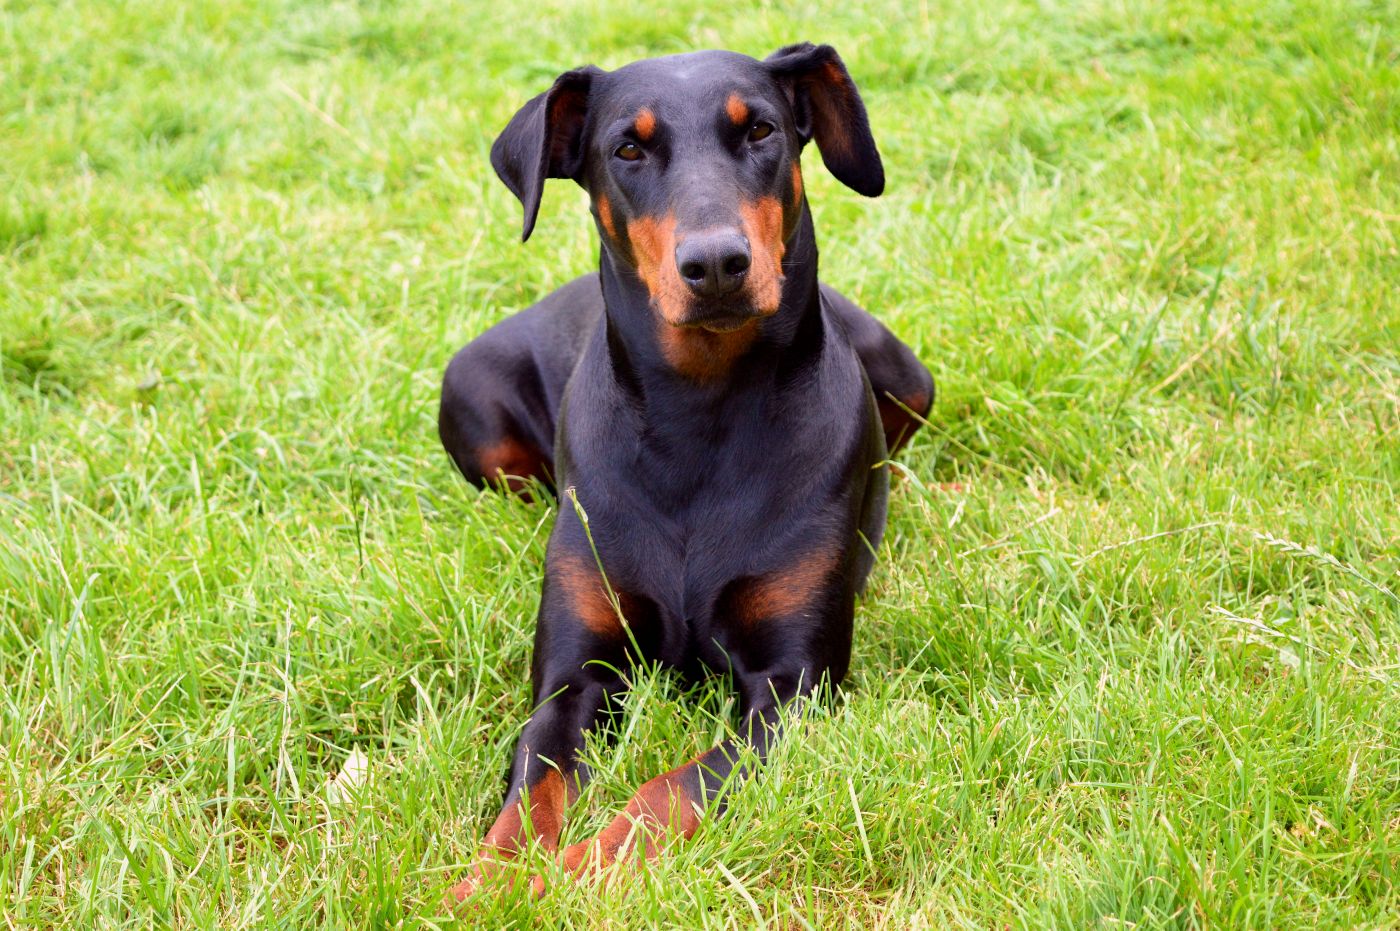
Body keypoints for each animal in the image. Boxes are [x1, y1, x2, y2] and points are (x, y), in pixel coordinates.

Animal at [436, 43, 935, 901]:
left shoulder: (792, 687)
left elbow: (669, 788)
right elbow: (531, 784)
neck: (698, 417)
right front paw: (490, 886)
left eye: (760, 130)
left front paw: (580, 868)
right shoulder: (574, 676)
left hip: (909, 379)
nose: (717, 263)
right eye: (627, 150)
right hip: (469, 397)